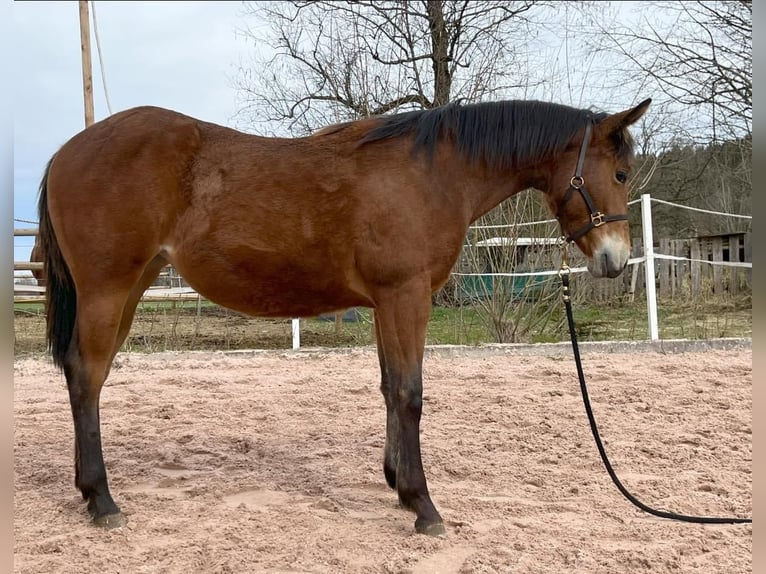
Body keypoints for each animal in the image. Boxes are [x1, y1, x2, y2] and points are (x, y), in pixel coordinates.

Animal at [39, 98, 652, 536]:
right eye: (621, 173)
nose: (615, 260)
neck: (433, 174)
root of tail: (67, 150)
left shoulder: (386, 303)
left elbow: (389, 388)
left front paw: (396, 482)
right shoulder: (407, 297)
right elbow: (410, 392)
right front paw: (423, 505)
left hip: (131, 287)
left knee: (83, 375)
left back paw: (87, 490)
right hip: (108, 289)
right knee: (87, 377)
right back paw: (102, 499)